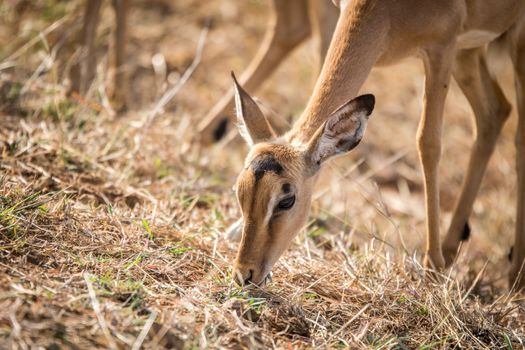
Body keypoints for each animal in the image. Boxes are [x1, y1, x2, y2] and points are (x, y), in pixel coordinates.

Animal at [228, 0, 524, 290]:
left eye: (287, 200)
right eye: (239, 191)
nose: (245, 273)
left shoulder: (442, 48)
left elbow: (428, 142)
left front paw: (431, 270)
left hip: (507, 41)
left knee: (516, 131)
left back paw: (514, 276)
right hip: (469, 52)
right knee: (494, 113)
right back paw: (453, 251)